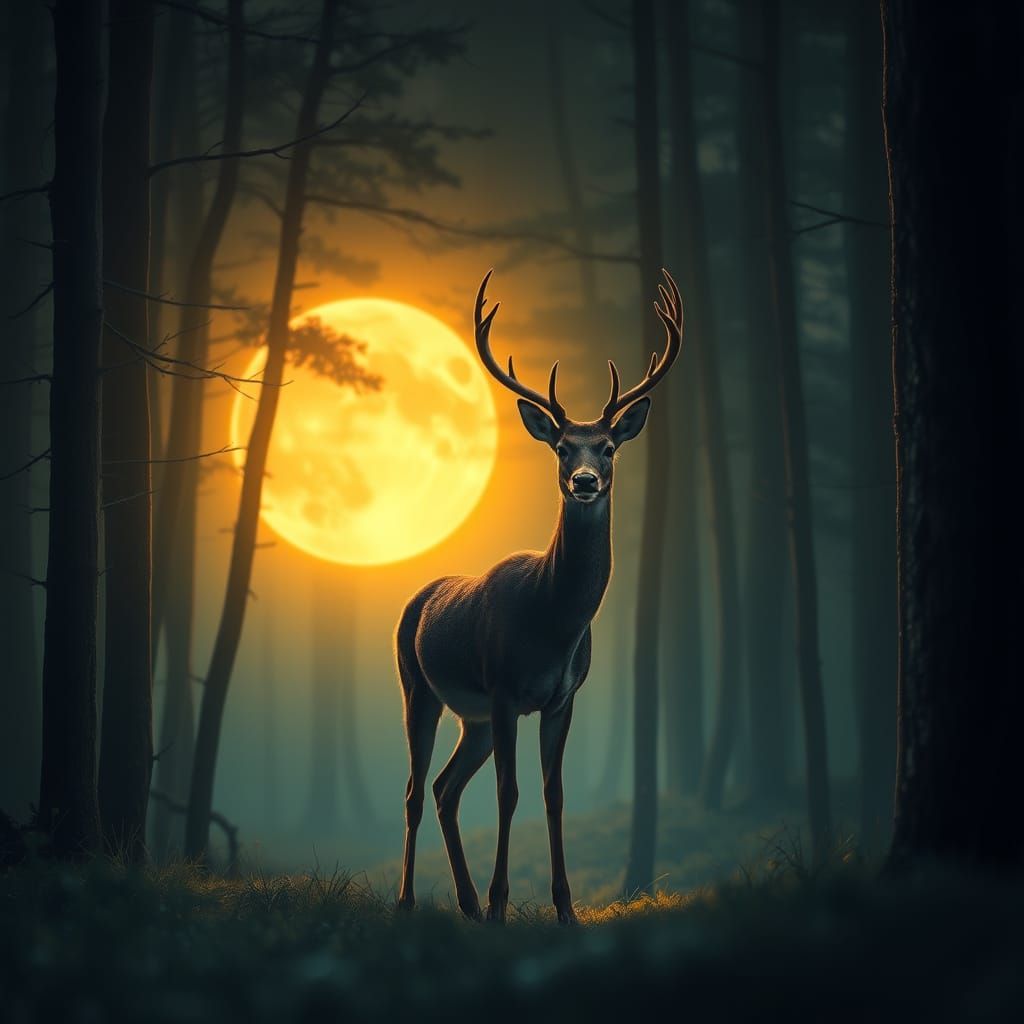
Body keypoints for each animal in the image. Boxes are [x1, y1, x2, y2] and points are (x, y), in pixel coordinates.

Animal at [395, 268, 683, 924]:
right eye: (561, 447)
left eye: (608, 447)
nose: (584, 481)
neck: (552, 624)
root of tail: (418, 598)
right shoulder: (504, 688)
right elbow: (510, 792)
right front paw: (504, 903)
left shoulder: (562, 697)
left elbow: (554, 794)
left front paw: (564, 907)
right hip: (419, 687)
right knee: (416, 789)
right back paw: (410, 901)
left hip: (471, 717)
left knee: (445, 789)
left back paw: (467, 904)